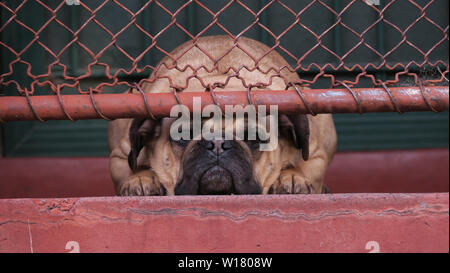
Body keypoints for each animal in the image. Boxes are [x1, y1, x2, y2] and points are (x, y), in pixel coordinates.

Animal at [107, 35, 336, 194]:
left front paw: (291, 177)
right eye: (183, 136)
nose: (217, 143)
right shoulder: (119, 156)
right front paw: (142, 178)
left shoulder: (316, 153)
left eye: (254, 138)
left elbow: (304, 167)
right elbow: (132, 167)